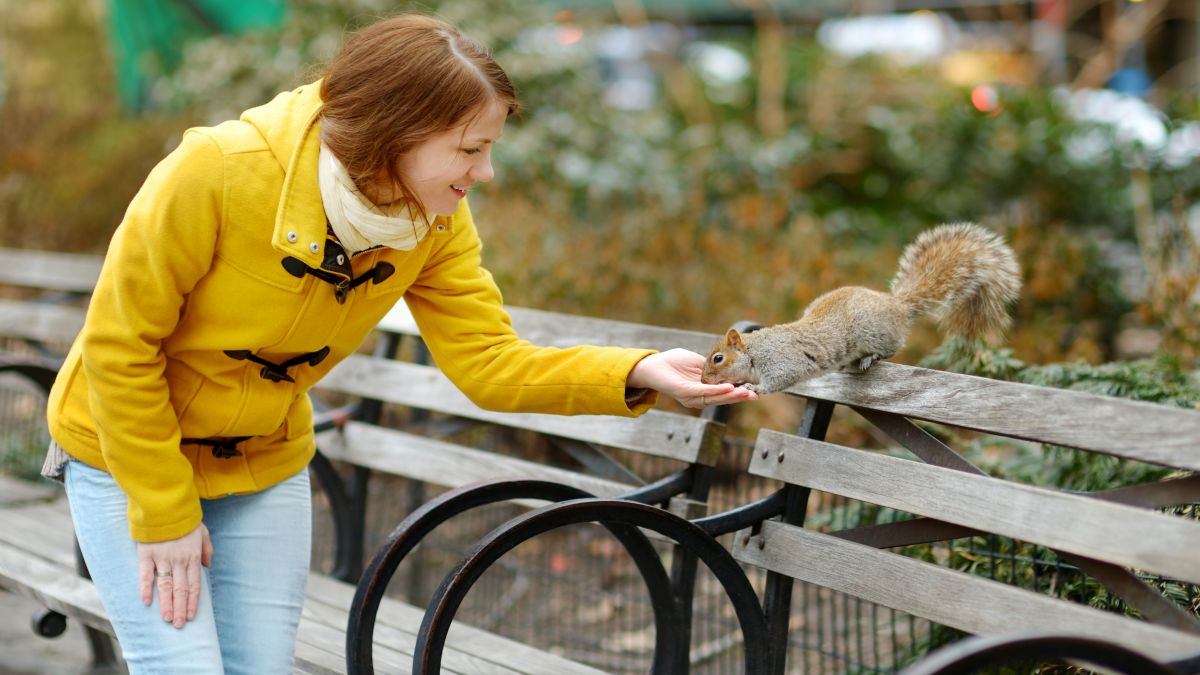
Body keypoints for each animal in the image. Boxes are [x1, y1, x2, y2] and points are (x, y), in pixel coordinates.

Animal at [700, 220, 1022, 391]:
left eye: (718, 358)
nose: (703, 379)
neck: (755, 352)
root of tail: (896, 305)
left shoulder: (783, 360)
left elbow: (781, 378)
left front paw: (754, 387)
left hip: (872, 331)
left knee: (891, 348)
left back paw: (869, 359)